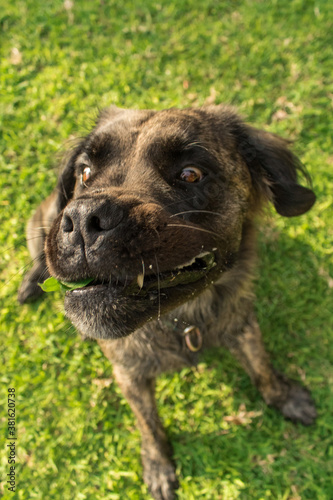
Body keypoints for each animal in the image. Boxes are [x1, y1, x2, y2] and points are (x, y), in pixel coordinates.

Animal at [18, 103, 316, 498]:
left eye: (190, 174)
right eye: (85, 172)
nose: (83, 219)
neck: (180, 319)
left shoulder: (241, 322)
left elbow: (261, 365)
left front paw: (286, 397)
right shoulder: (128, 373)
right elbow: (149, 424)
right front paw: (158, 465)